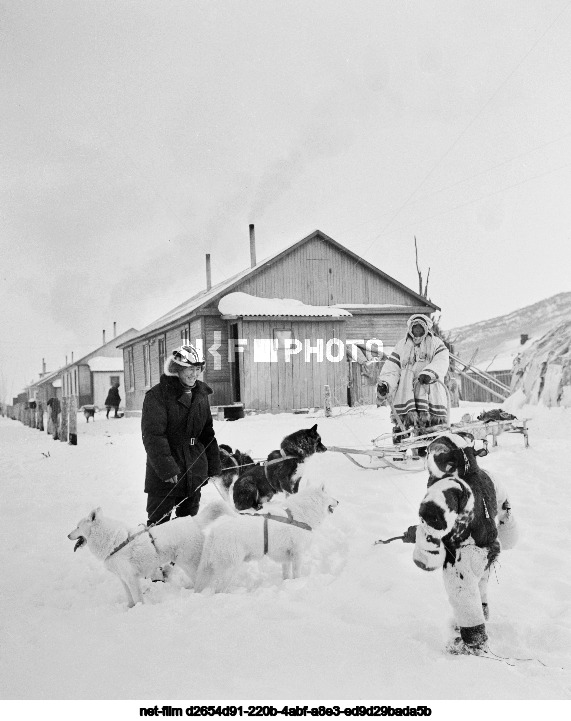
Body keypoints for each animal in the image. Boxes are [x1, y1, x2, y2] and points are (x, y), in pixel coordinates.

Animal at [67, 500, 228, 608]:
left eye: (77, 527)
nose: (67, 535)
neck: (113, 542)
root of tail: (193, 520)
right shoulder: (123, 578)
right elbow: (130, 598)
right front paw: (130, 609)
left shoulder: (131, 578)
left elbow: (138, 598)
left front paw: (139, 610)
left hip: (190, 563)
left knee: (204, 579)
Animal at [194, 480, 338, 592]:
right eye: (330, 495)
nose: (338, 501)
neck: (299, 514)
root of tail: (214, 532)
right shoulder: (297, 554)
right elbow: (297, 573)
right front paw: (297, 583)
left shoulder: (287, 556)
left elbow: (286, 573)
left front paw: (286, 583)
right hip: (230, 568)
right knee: (219, 590)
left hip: (209, 568)